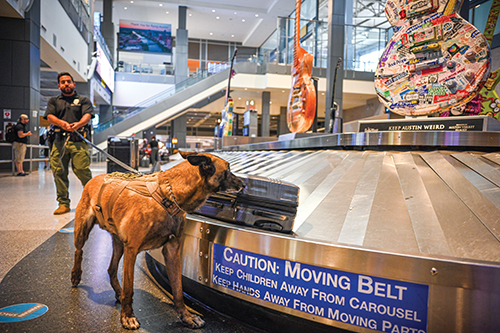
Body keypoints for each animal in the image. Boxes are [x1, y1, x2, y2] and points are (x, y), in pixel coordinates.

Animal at [70, 152, 244, 328]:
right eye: (227, 170)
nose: (243, 184)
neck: (168, 196)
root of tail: (94, 178)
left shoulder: (172, 251)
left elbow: (178, 289)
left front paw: (186, 316)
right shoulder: (132, 250)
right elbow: (129, 289)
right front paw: (127, 316)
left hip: (119, 245)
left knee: (111, 269)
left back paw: (118, 292)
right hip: (82, 231)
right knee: (78, 251)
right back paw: (76, 275)